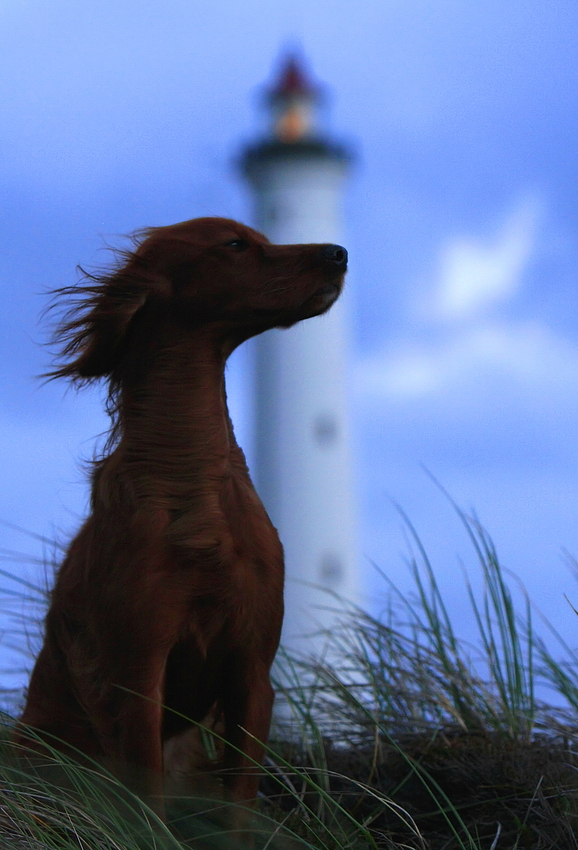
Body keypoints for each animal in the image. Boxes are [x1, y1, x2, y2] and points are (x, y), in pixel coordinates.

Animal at [14, 215, 346, 824]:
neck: (191, 476)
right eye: (236, 244)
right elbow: (149, 804)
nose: (340, 253)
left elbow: (238, 809)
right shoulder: (139, 675)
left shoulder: (252, 673)